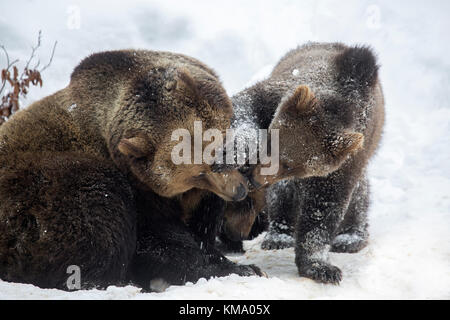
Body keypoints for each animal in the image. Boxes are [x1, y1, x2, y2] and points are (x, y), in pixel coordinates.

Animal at [0, 49, 262, 290]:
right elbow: (158, 240)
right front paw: (238, 268)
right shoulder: (141, 189)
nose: (238, 191)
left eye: (220, 152)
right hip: (42, 193)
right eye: (198, 172)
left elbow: (202, 225)